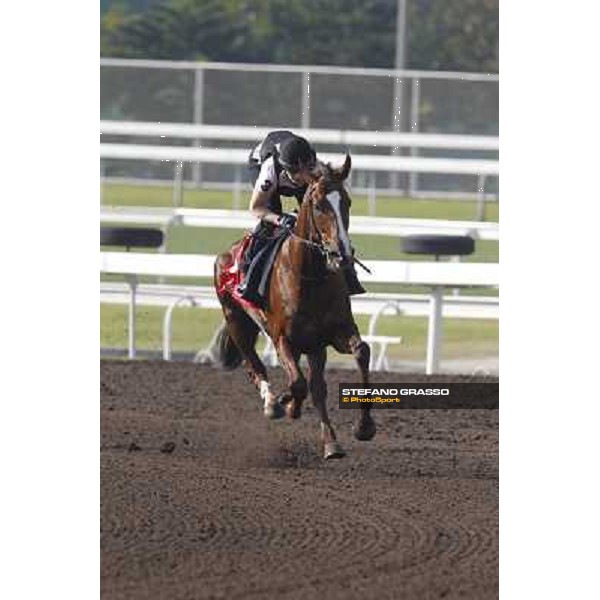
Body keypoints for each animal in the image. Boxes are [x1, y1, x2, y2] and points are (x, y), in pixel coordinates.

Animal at [214, 156, 376, 460]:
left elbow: (361, 352)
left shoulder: (333, 333)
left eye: (347, 202)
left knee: (317, 388)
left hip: (313, 345)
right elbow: (297, 382)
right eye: (319, 204)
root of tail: (227, 254)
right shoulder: (282, 338)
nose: (342, 255)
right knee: (254, 365)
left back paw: (330, 443)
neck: (309, 276)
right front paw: (286, 403)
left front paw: (364, 427)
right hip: (236, 320)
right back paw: (272, 402)